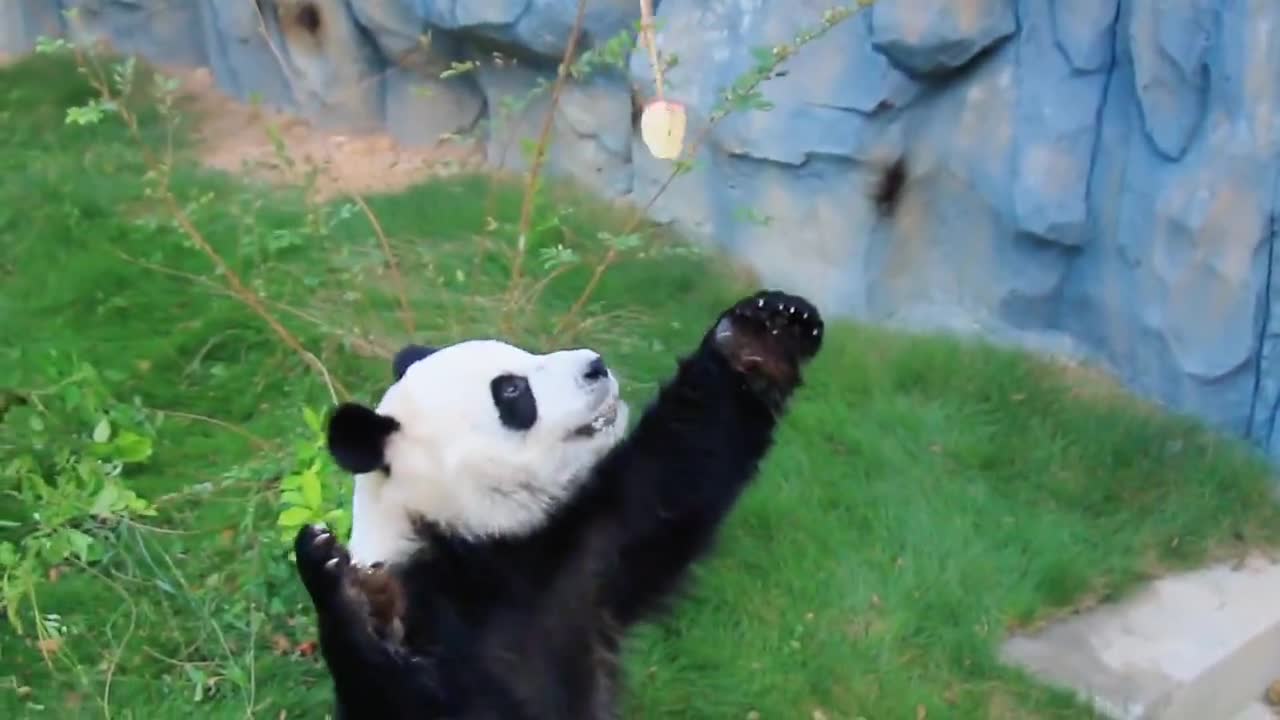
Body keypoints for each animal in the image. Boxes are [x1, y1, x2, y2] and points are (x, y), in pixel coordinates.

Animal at [294, 286, 824, 717]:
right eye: (512, 390)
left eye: (524, 353)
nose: (596, 365)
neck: (471, 542)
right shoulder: (431, 605)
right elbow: (397, 696)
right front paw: (341, 583)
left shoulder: (582, 562)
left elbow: (679, 467)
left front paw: (762, 334)